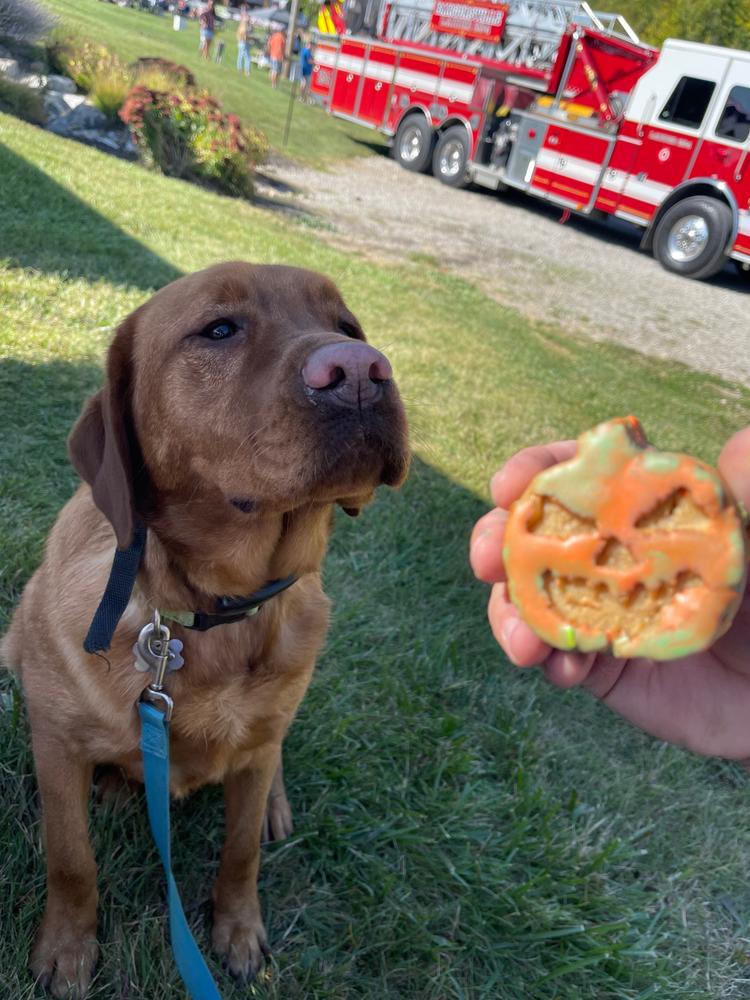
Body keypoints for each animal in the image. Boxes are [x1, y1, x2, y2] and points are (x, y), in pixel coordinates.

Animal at [1, 262, 412, 996]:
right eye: (219, 329)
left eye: (347, 326)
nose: (363, 370)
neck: (212, 612)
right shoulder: (54, 744)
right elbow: (72, 858)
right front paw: (68, 949)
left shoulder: (254, 753)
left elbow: (241, 852)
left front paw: (239, 931)